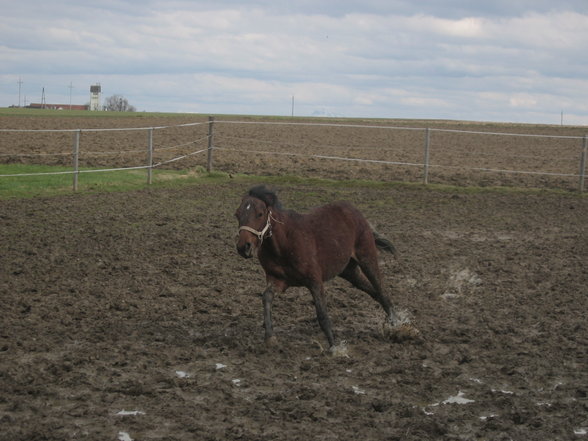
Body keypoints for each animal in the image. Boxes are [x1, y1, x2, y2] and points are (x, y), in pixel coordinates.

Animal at [237, 184, 406, 352]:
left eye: (259, 214)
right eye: (237, 214)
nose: (243, 247)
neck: (285, 242)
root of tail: (354, 211)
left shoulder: (315, 281)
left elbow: (322, 314)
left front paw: (335, 348)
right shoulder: (278, 280)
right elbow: (266, 297)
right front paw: (270, 338)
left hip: (367, 258)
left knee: (381, 289)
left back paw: (397, 324)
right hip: (349, 271)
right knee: (374, 292)